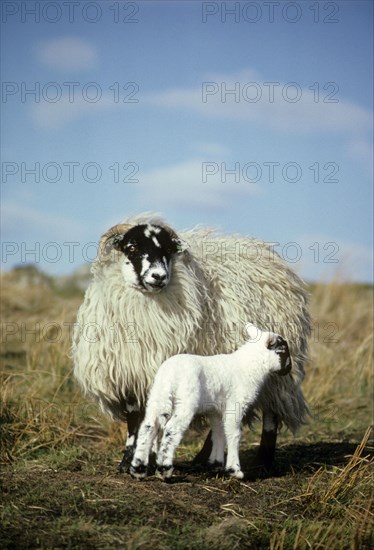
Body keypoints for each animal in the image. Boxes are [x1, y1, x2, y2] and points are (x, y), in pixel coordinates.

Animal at [131, 326, 292, 480]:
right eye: (283, 351)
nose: (288, 369)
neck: (250, 366)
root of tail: (170, 373)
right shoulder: (235, 405)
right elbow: (234, 434)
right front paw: (234, 470)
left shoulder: (216, 410)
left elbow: (218, 433)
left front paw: (216, 464)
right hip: (186, 400)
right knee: (172, 429)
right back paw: (164, 471)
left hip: (158, 396)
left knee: (148, 427)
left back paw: (138, 469)